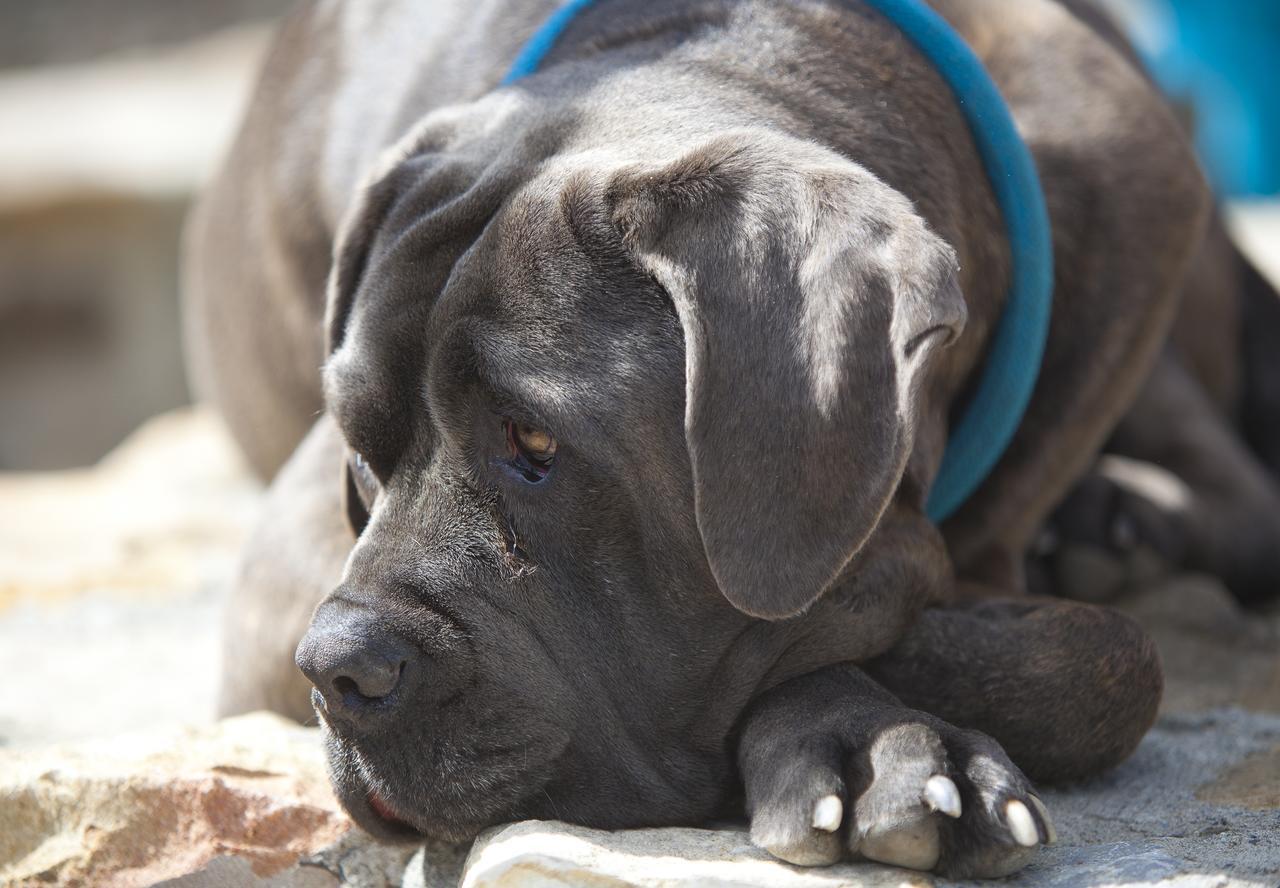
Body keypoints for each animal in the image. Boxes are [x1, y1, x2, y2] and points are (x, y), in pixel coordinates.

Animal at [185, 0, 1213, 875]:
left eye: (536, 442)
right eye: (360, 449)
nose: (337, 668)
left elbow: (1107, 659)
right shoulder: (283, 568)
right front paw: (872, 734)